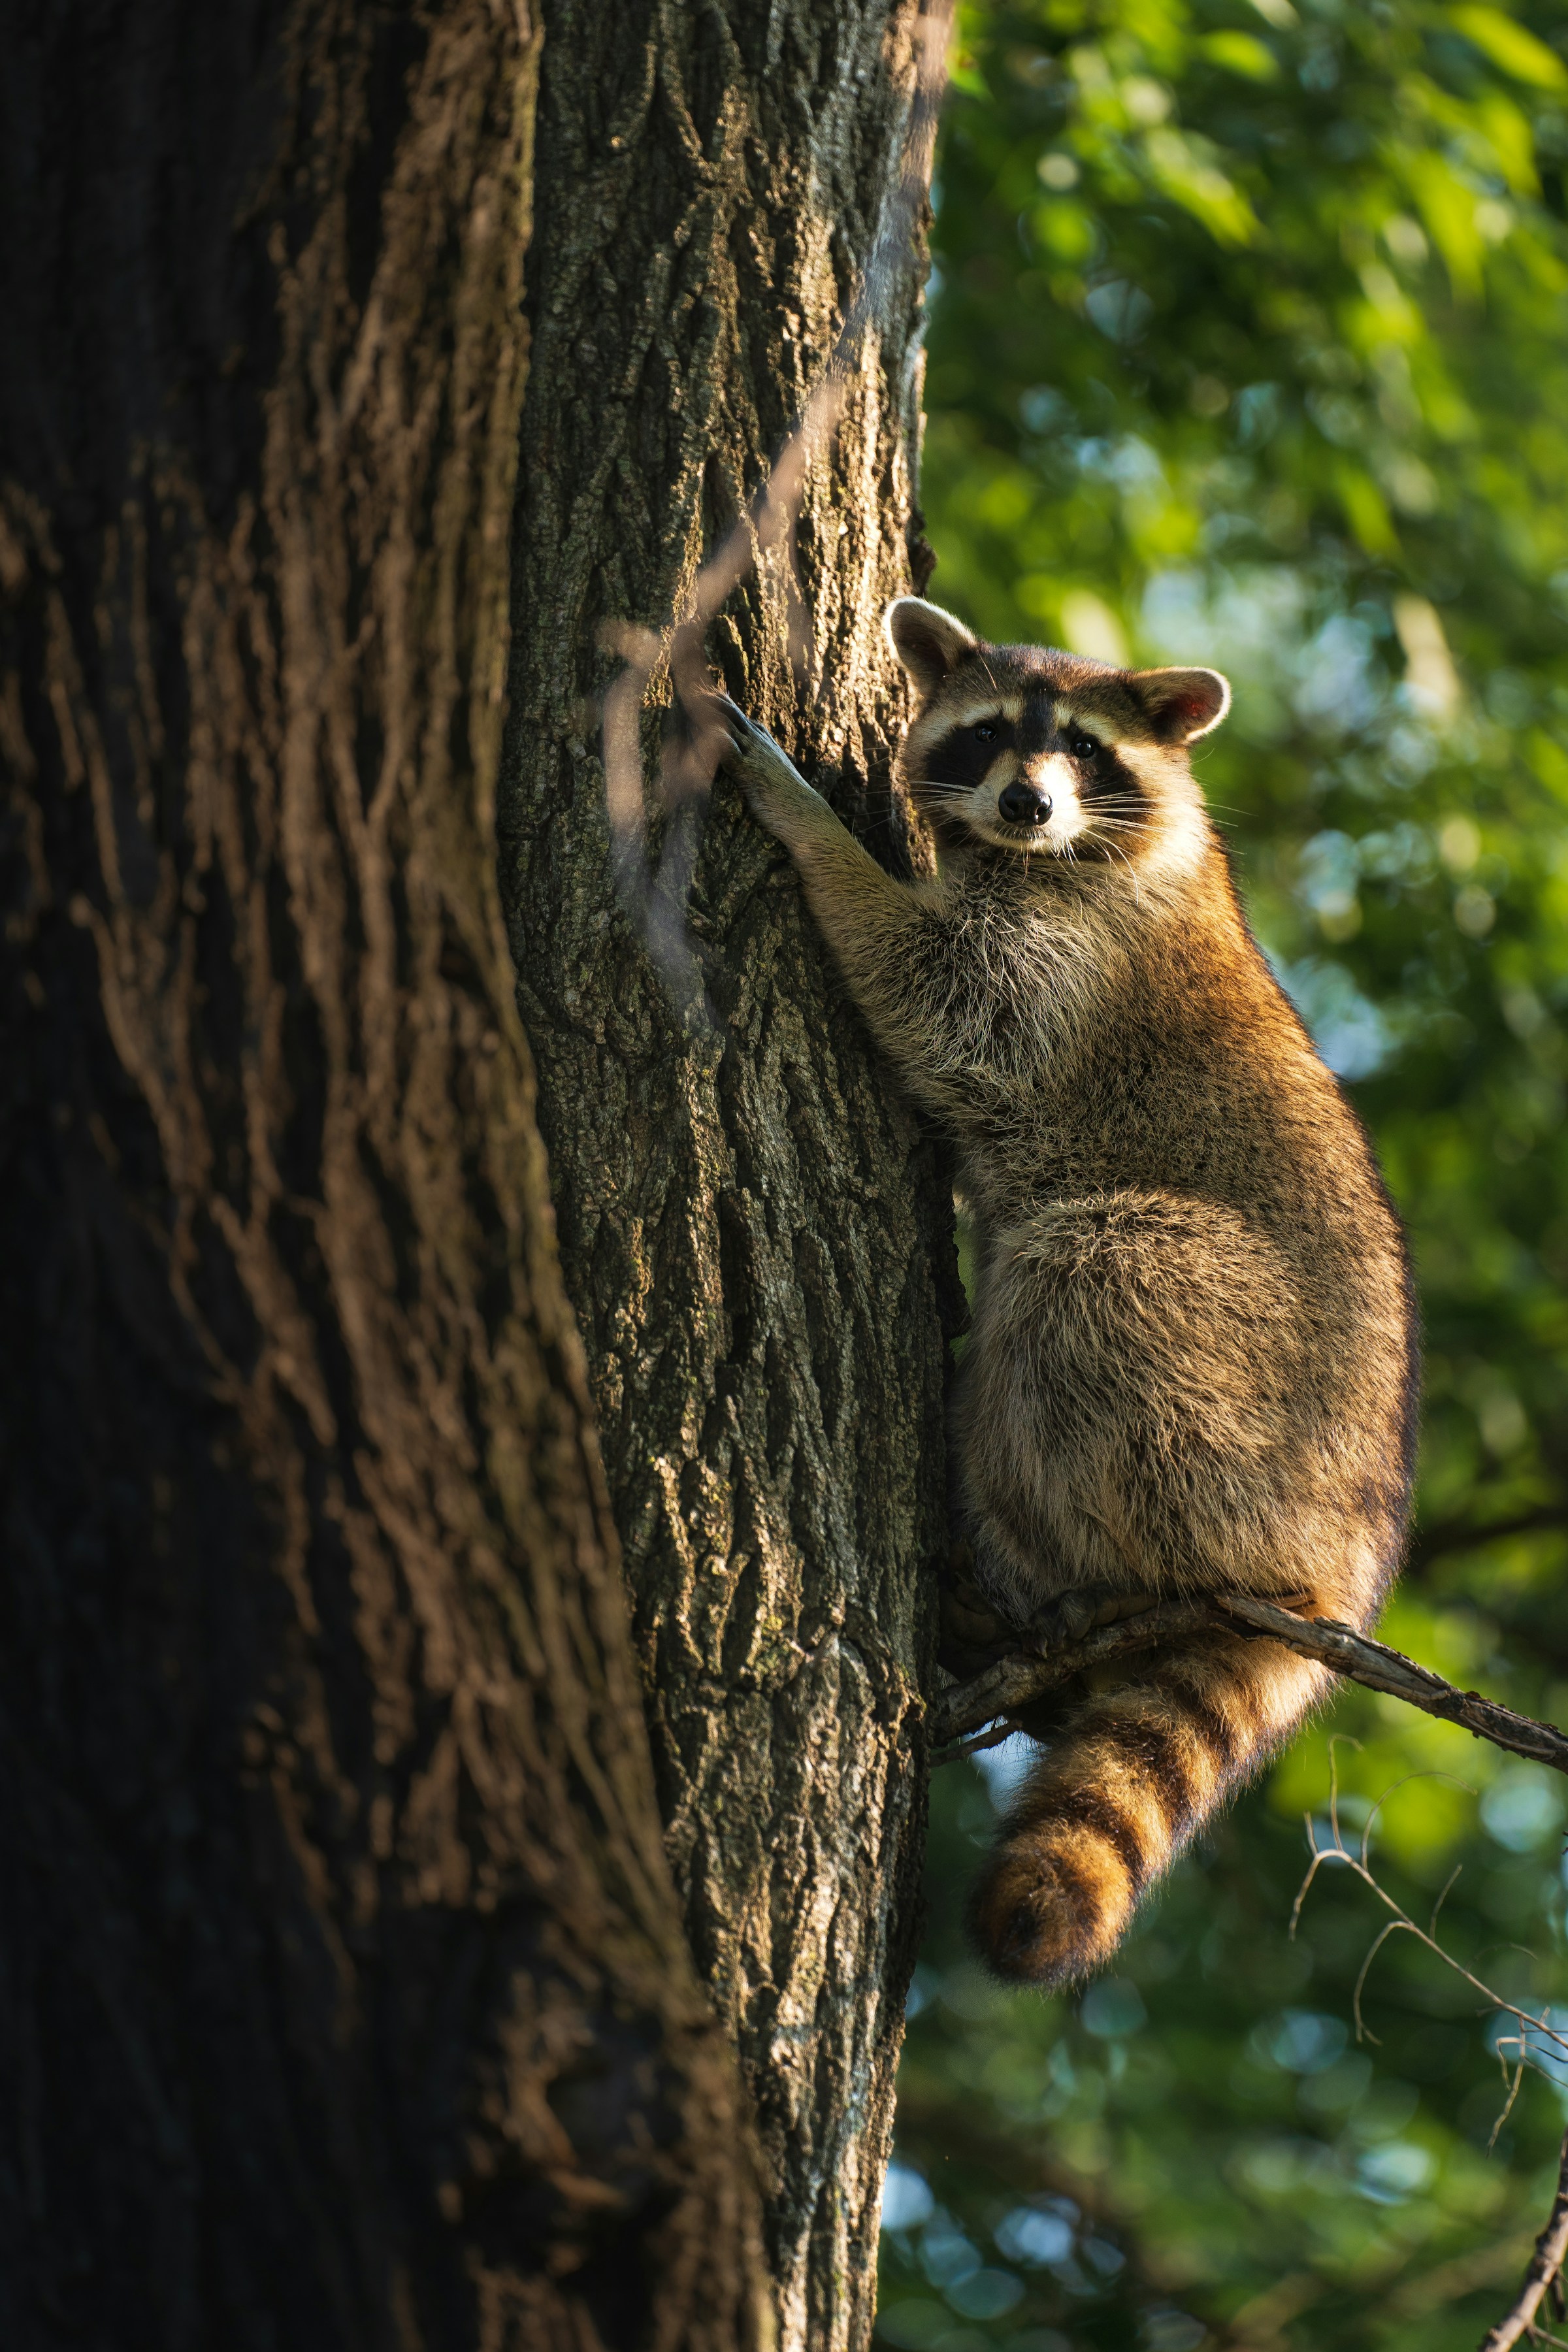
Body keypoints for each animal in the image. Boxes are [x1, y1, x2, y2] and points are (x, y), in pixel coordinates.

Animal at [719, 602, 1420, 1985]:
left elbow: (938, 994)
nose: (1028, 804)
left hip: (1238, 1372)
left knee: (1082, 1280)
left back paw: (1028, 1564)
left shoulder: (1073, 956)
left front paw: (811, 828)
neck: (1038, 855)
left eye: (1087, 752)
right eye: (993, 733)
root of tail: (1342, 1560)